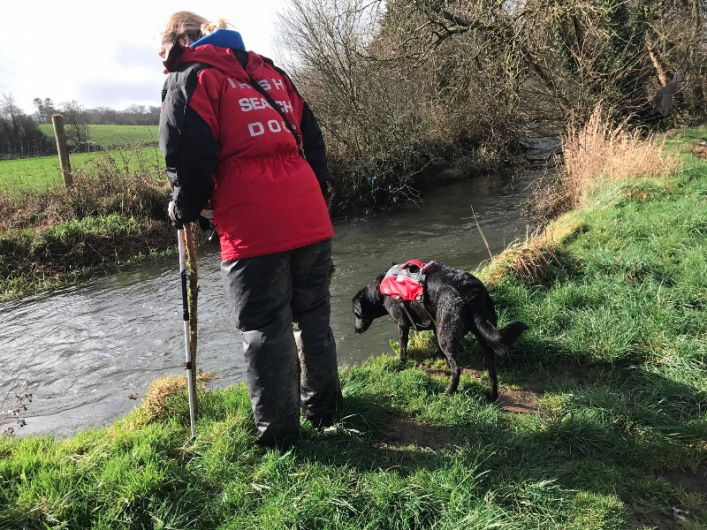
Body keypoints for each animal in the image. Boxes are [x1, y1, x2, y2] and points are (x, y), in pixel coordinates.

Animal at [352, 262, 528, 398]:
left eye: (356, 314)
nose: (355, 330)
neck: (381, 288)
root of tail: (473, 292)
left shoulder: (402, 324)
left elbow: (402, 346)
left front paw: (401, 362)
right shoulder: (435, 325)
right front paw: (442, 360)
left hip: (447, 334)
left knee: (457, 369)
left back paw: (450, 391)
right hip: (481, 333)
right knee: (491, 368)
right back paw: (492, 395)